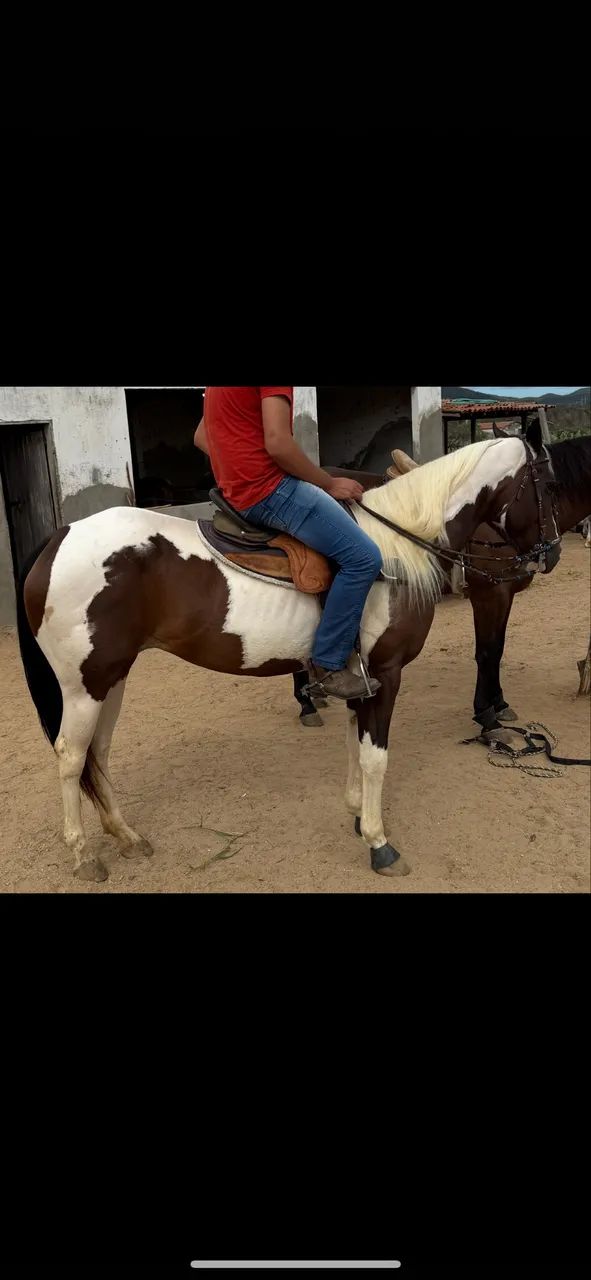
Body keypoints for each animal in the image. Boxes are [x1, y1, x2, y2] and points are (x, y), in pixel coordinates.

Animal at [17, 435, 560, 884]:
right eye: (548, 485)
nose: (551, 553)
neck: (397, 548)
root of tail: (60, 536)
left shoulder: (358, 679)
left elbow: (354, 745)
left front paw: (358, 814)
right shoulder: (386, 675)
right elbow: (375, 757)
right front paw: (379, 843)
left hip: (112, 676)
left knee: (99, 752)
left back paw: (126, 836)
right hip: (84, 683)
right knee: (70, 756)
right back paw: (83, 856)